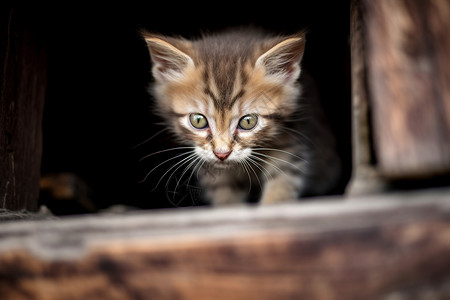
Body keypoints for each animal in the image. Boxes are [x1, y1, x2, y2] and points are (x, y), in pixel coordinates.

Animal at [142, 28, 340, 205]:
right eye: (198, 121)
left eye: (248, 122)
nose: (222, 154)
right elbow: (224, 194)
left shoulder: (291, 143)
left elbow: (283, 180)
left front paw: (273, 206)